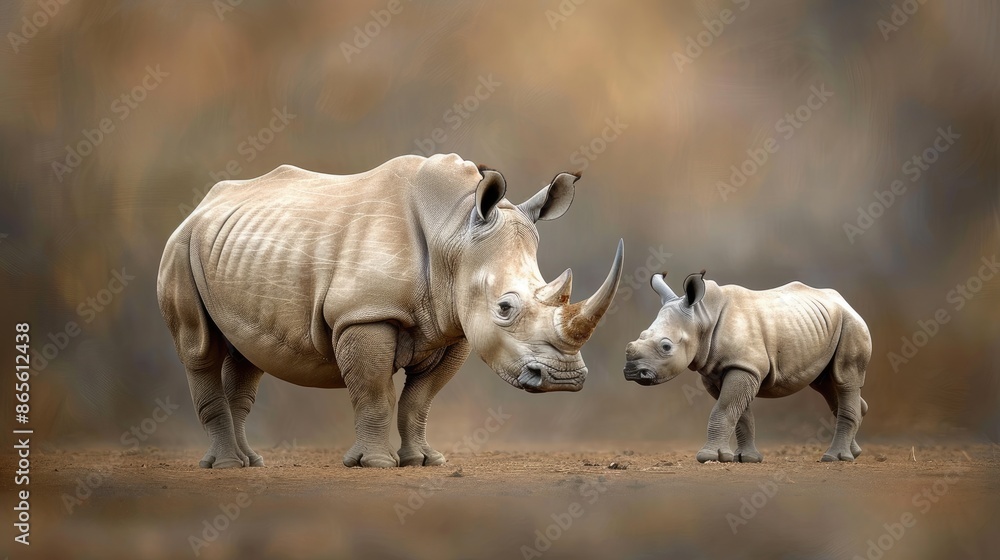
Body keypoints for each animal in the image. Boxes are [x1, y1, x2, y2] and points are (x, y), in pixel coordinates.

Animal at [158, 153, 623, 468]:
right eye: (505, 308)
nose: (563, 380)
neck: (454, 229)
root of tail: (200, 207)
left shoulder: (453, 325)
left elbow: (419, 400)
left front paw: (424, 461)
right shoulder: (366, 313)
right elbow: (374, 392)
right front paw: (376, 464)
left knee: (246, 354)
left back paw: (249, 463)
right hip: (180, 247)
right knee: (199, 350)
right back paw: (227, 466)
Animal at [623, 271, 871, 463]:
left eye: (666, 346)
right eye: (641, 335)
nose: (631, 372)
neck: (703, 316)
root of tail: (846, 302)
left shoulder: (744, 366)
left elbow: (724, 409)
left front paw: (708, 457)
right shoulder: (720, 371)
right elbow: (739, 413)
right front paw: (744, 458)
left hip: (852, 324)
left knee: (844, 379)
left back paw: (835, 458)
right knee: (826, 384)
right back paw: (854, 452)